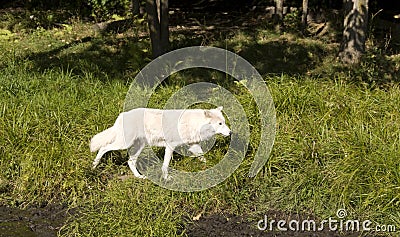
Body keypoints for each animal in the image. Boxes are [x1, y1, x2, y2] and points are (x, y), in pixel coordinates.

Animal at [88, 106, 230, 179]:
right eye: (220, 124)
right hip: (123, 144)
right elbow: (165, 165)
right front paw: (166, 178)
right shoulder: (170, 146)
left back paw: (139, 177)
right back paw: (94, 166)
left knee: (130, 162)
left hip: (139, 146)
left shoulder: (193, 145)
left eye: (224, 122)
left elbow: (202, 157)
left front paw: (211, 168)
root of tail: (122, 115)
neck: (195, 123)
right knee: (103, 148)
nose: (230, 132)